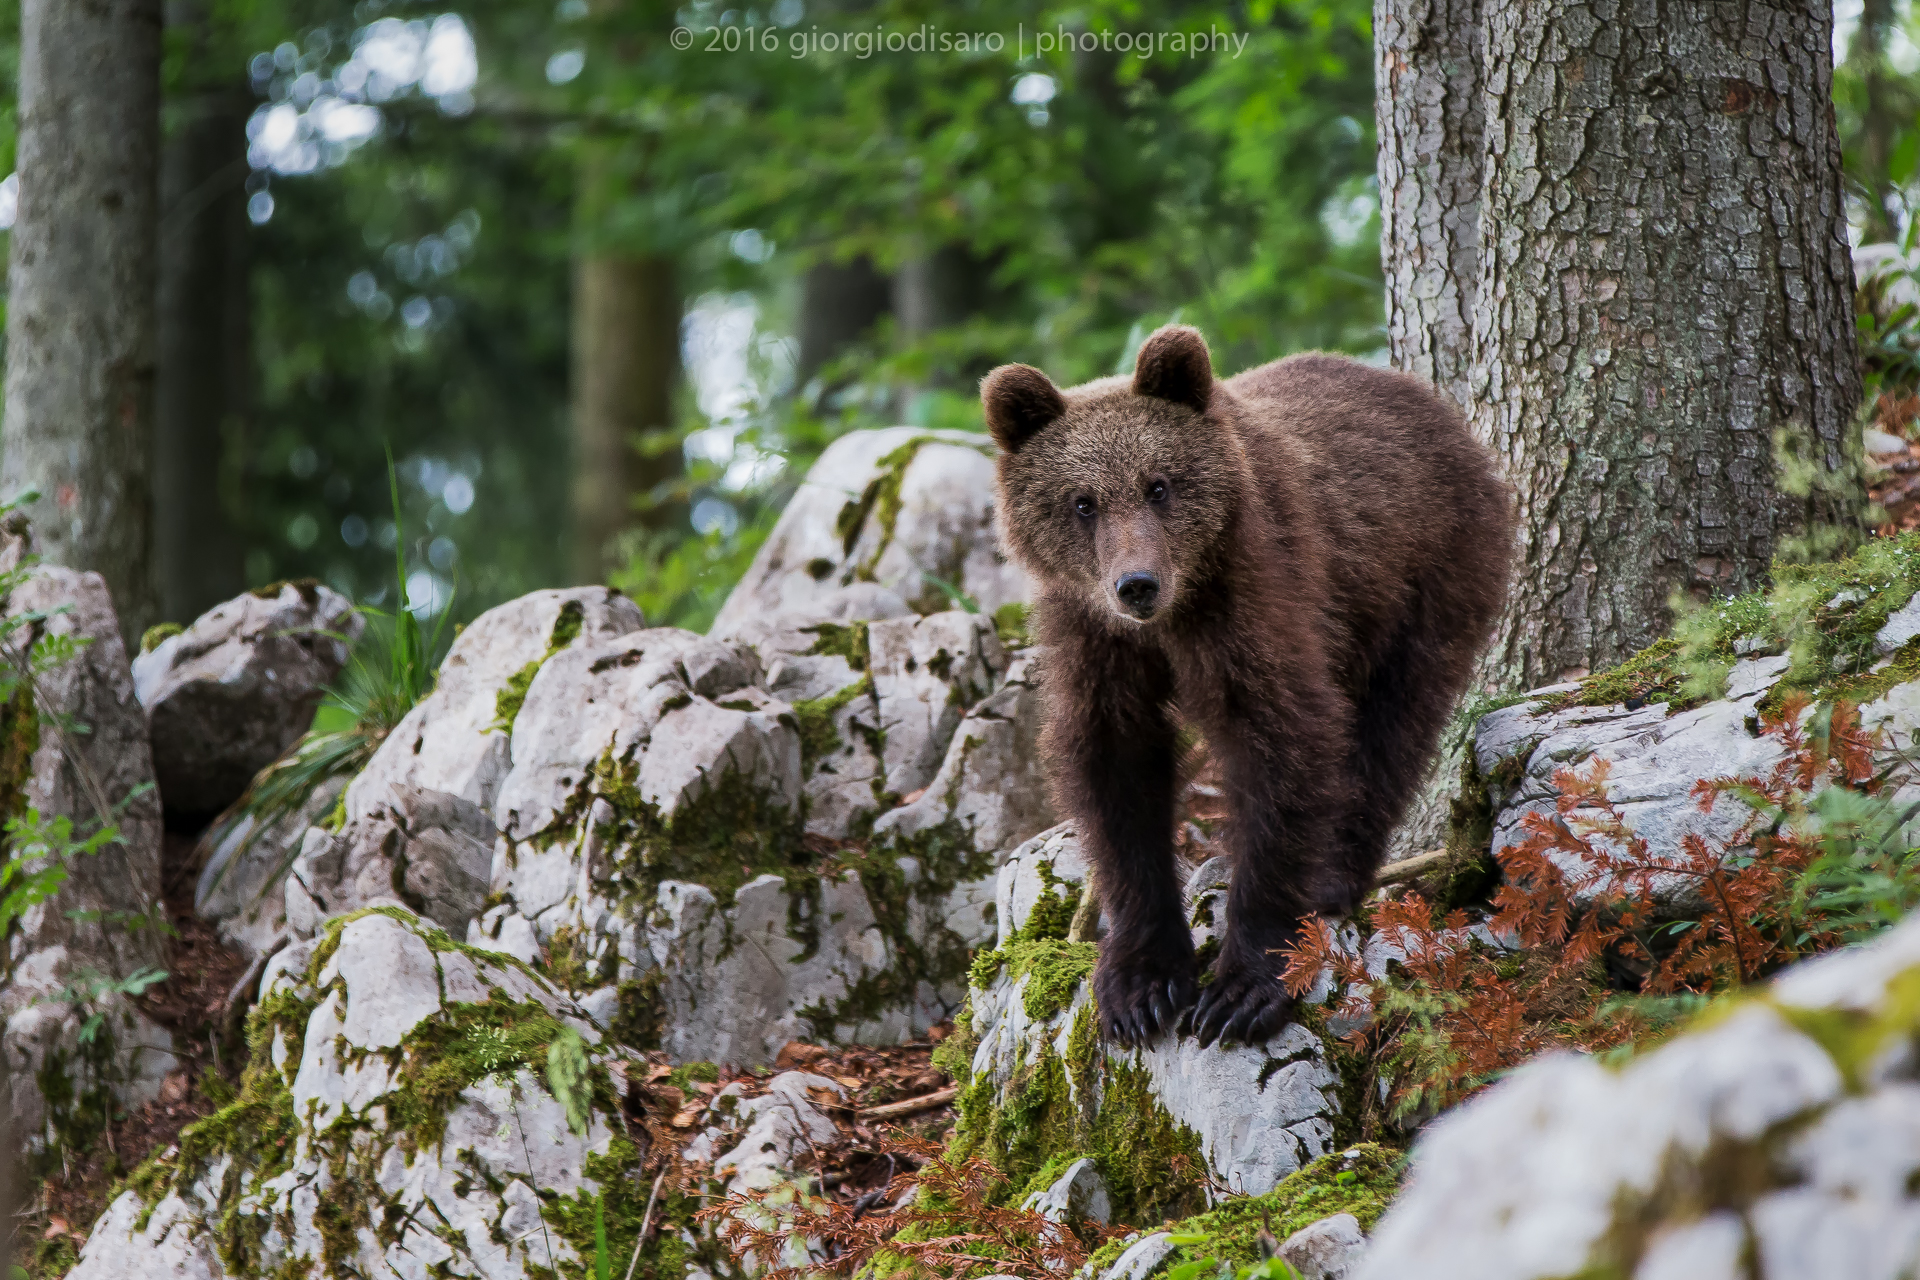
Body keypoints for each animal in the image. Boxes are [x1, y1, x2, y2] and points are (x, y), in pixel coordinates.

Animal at [982, 325, 1512, 1048]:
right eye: (1082, 502)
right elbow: (1115, 768)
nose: (1137, 584)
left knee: (1392, 726)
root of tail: (1428, 402)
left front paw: (1246, 984)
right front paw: (1142, 983)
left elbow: (1282, 738)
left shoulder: (1253, 594)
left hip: (1425, 574)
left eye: (1158, 485)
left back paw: (1335, 875)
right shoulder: (1095, 639)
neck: (1173, 618)